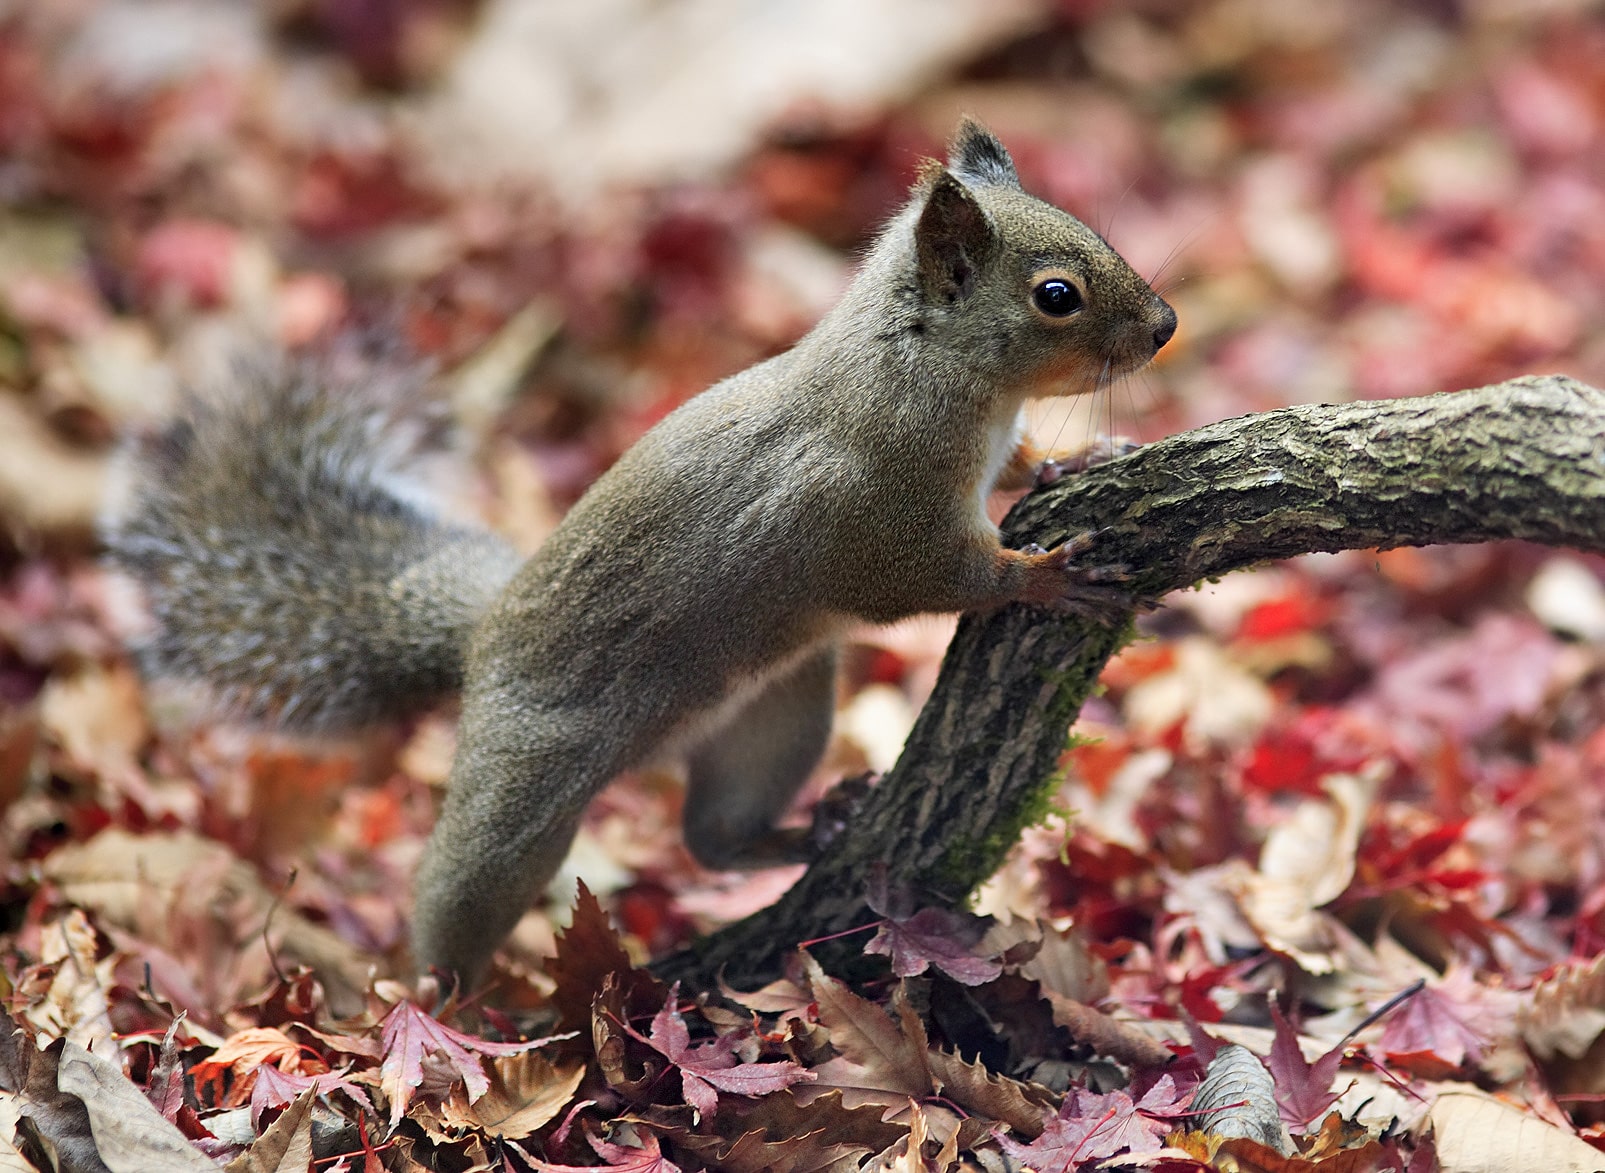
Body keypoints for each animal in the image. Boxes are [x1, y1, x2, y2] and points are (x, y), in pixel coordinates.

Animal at [106, 121, 1176, 988]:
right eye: (1055, 295)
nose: (1166, 326)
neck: (927, 368)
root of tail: (479, 641)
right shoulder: (874, 516)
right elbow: (930, 579)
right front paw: (1044, 576)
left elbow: (1021, 468)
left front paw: (1076, 457)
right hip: (525, 785)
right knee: (461, 885)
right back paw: (444, 1006)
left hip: (775, 714)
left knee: (713, 836)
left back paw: (810, 826)